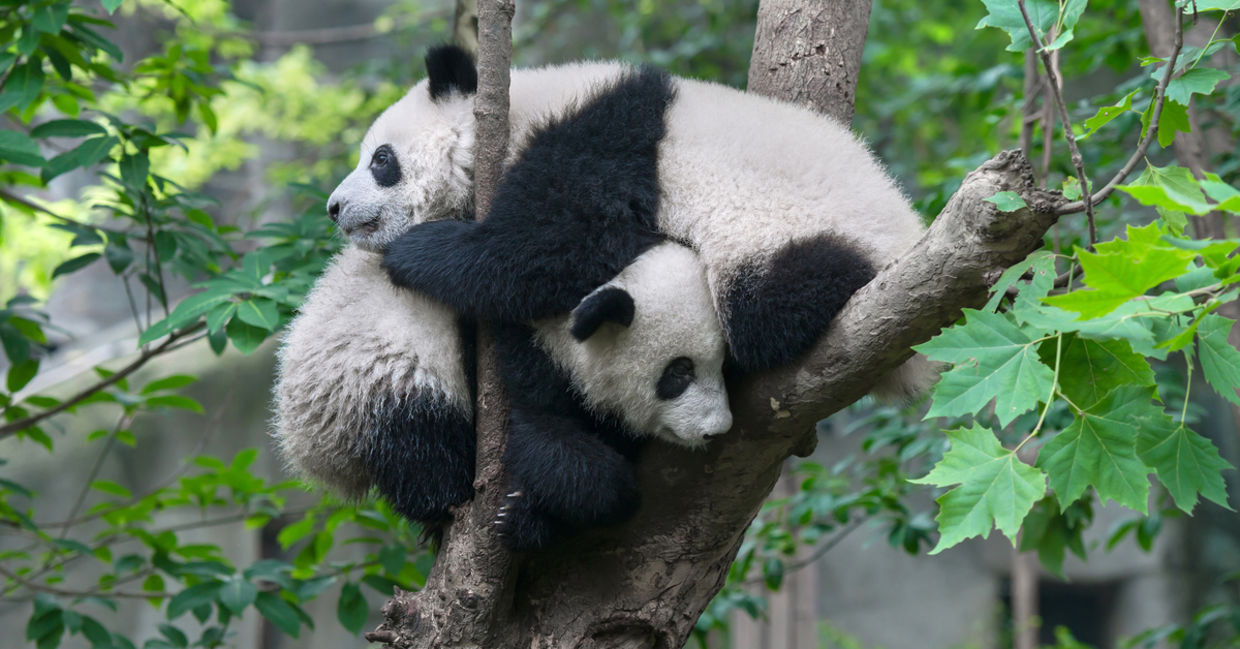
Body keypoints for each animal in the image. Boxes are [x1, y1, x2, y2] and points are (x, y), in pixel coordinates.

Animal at [355, 46, 934, 392]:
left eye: (381, 160)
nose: (338, 208)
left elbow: (563, 245)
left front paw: (418, 251)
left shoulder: (597, 140)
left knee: (770, 306)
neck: (515, 114)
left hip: (788, 232)